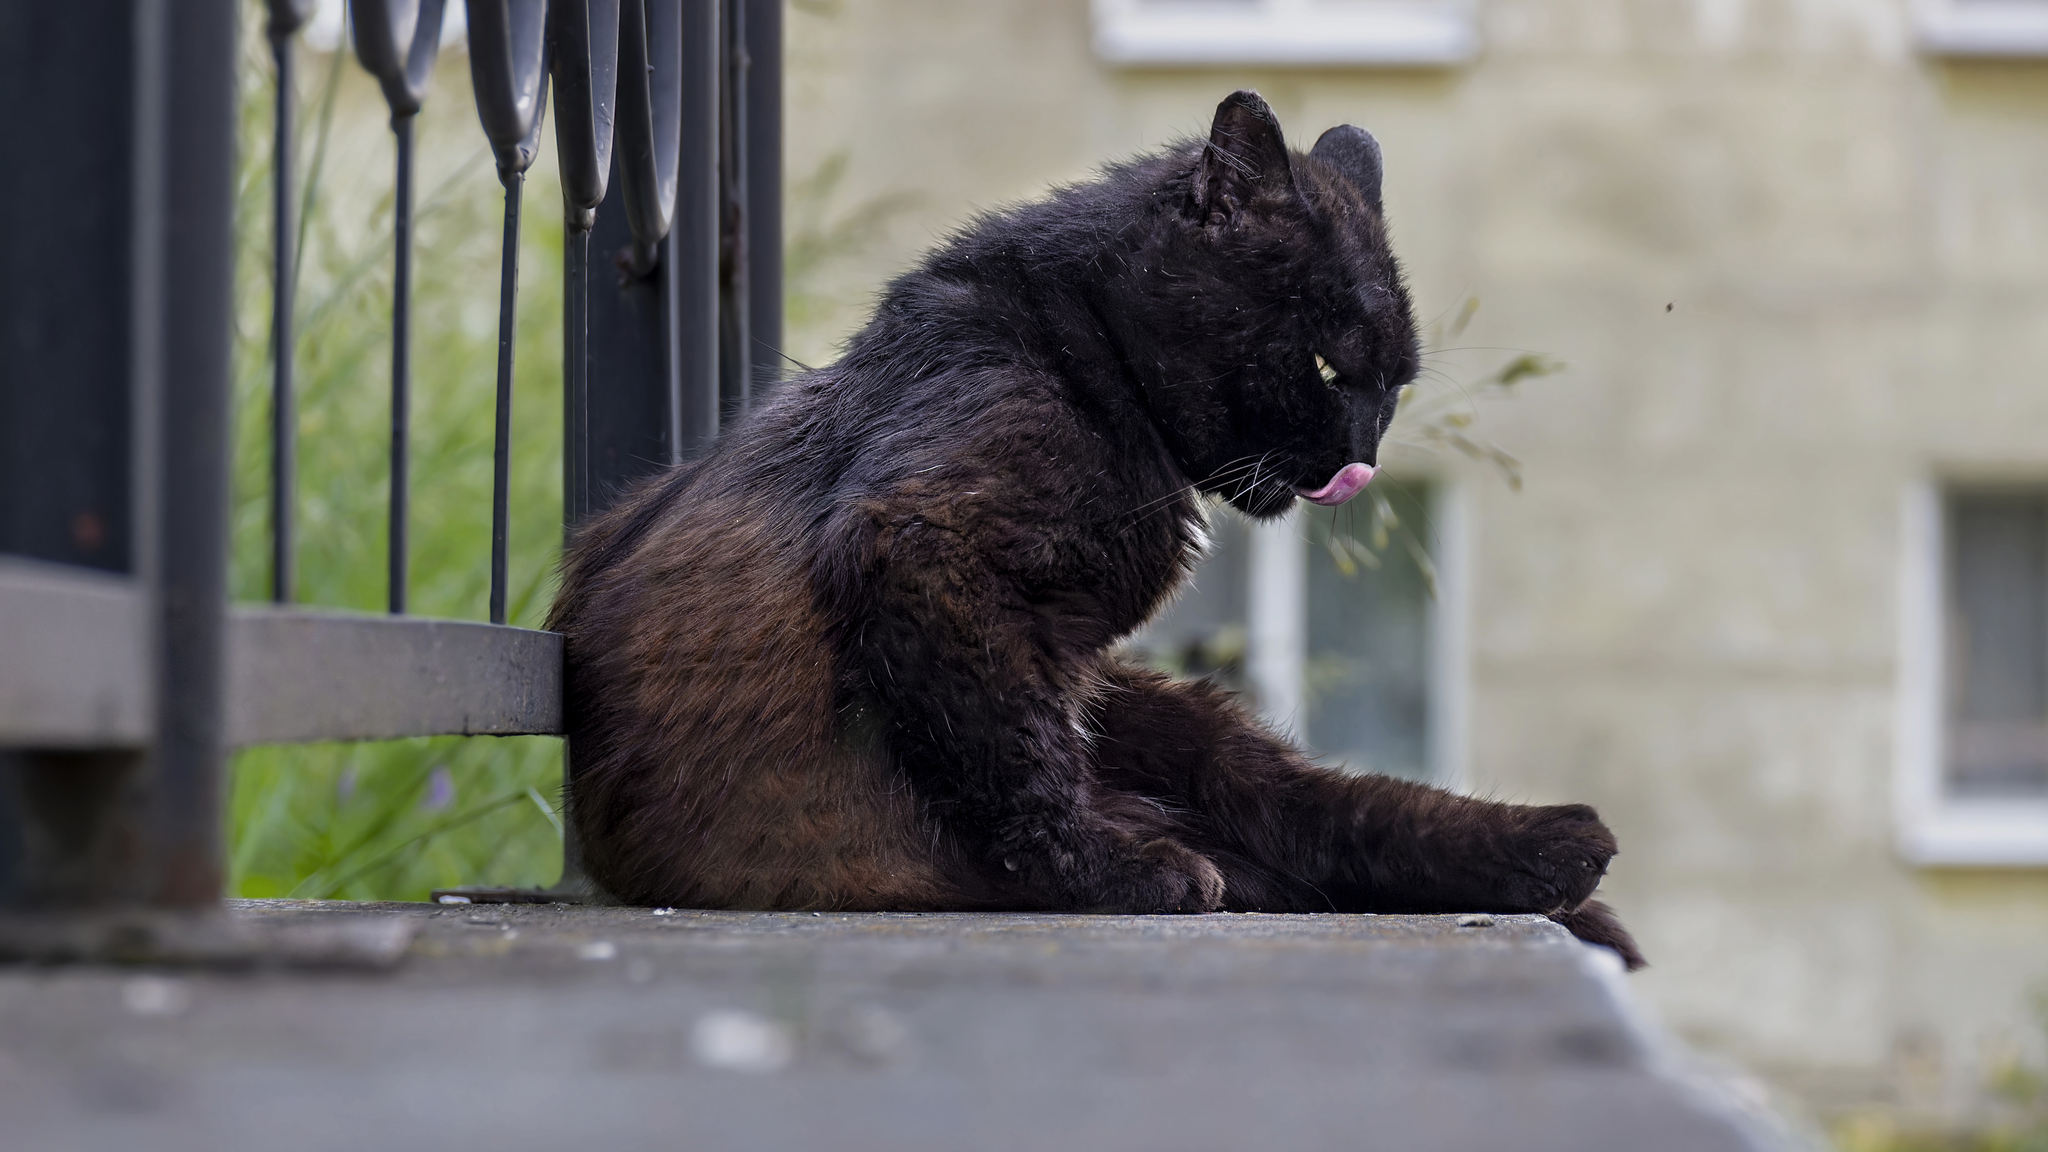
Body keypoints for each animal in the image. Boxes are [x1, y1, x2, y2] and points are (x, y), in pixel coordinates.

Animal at [552, 89, 1638, 963]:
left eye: (1396, 388)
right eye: (1334, 370)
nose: (1361, 464)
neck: (1080, 345)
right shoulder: (925, 541)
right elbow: (1015, 762)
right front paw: (1110, 875)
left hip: (1166, 711)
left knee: (1311, 810)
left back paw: (1553, 850)